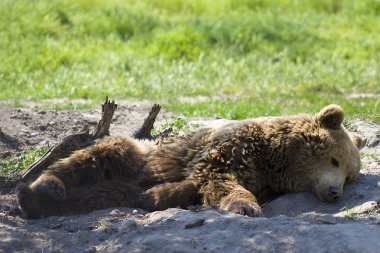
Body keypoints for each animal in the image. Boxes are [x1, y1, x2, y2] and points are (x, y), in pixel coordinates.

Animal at [17, 104, 362, 218]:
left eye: (349, 175)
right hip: (135, 155)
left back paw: (34, 203)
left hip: (117, 188)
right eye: (335, 160)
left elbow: (193, 186)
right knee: (92, 158)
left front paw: (154, 197)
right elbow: (219, 179)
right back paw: (44, 186)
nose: (335, 192)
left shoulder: (262, 179)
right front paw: (246, 207)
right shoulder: (230, 149)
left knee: (90, 196)